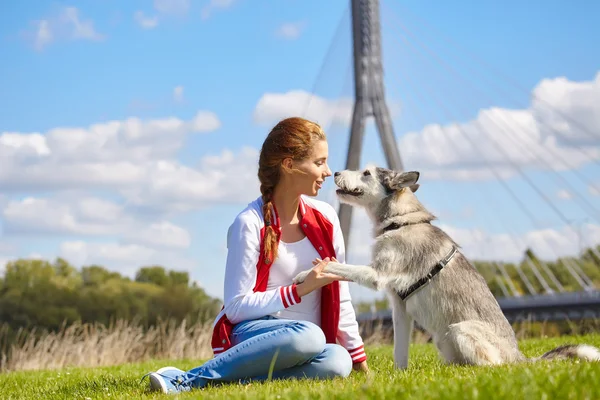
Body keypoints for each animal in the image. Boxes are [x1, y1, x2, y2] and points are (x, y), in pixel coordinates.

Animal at [294, 166, 600, 368]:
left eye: (366, 173)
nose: (335, 172)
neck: (401, 222)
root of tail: (519, 357)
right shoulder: (399, 308)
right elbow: (400, 351)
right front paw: (399, 377)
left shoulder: (376, 275)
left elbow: (337, 266)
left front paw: (306, 274)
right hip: (444, 339)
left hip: (460, 330)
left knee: (495, 368)